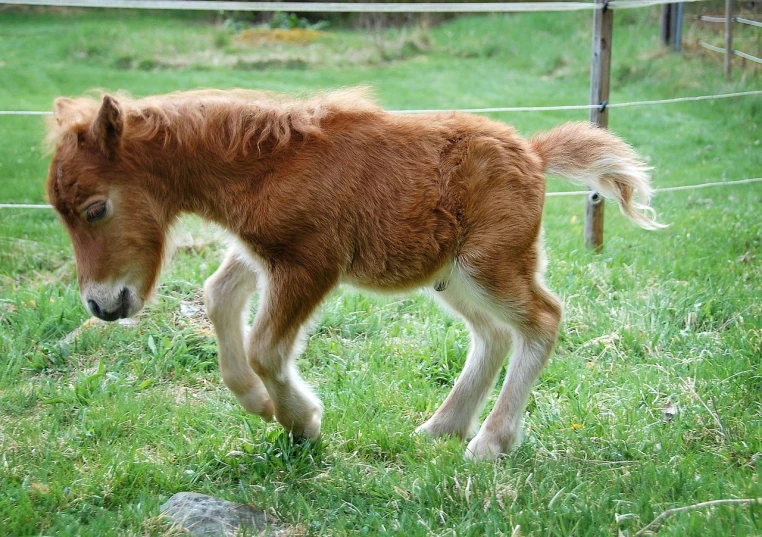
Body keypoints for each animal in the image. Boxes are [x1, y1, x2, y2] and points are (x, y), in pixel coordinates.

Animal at [46, 88, 660, 456]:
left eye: (95, 209)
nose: (101, 305)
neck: (264, 165)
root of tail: (532, 153)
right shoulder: (258, 254)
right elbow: (219, 297)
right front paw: (257, 403)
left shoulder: (309, 263)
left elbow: (266, 346)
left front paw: (301, 421)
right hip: (451, 275)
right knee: (493, 334)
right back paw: (442, 427)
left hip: (490, 264)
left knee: (542, 319)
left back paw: (489, 444)